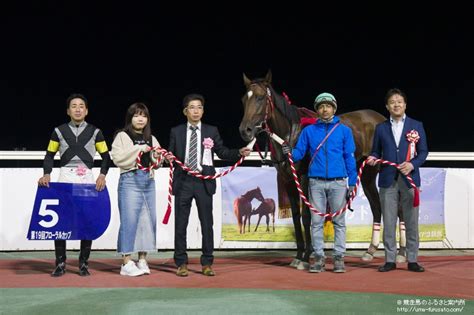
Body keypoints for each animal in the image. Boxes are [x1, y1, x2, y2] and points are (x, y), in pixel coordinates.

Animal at [237, 71, 388, 266]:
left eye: (260, 97)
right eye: (243, 99)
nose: (245, 130)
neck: (290, 135)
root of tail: (381, 119)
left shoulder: (303, 178)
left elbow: (307, 215)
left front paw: (306, 256)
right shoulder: (288, 180)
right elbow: (296, 216)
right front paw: (298, 255)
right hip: (367, 174)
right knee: (377, 207)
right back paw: (370, 251)